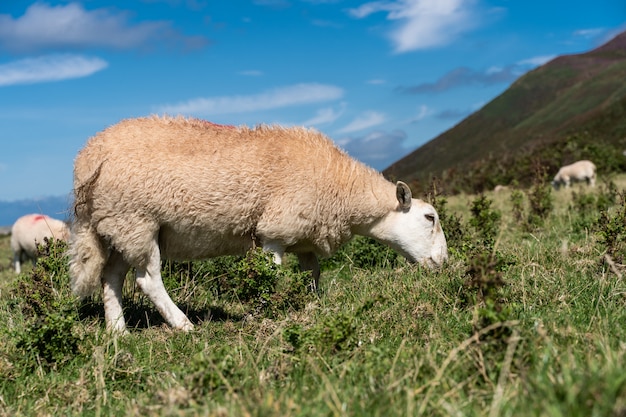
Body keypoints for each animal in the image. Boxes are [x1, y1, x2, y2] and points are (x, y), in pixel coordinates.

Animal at [69, 115, 448, 334]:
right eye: (429, 218)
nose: (444, 262)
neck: (342, 188)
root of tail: (86, 158)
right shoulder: (275, 231)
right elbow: (272, 275)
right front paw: (266, 310)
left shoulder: (304, 235)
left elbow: (312, 273)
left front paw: (311, 304)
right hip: (137, 220)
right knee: (148, 280)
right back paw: (183, 325)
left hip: (116, 226)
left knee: (111, 277)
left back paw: (118, 332)